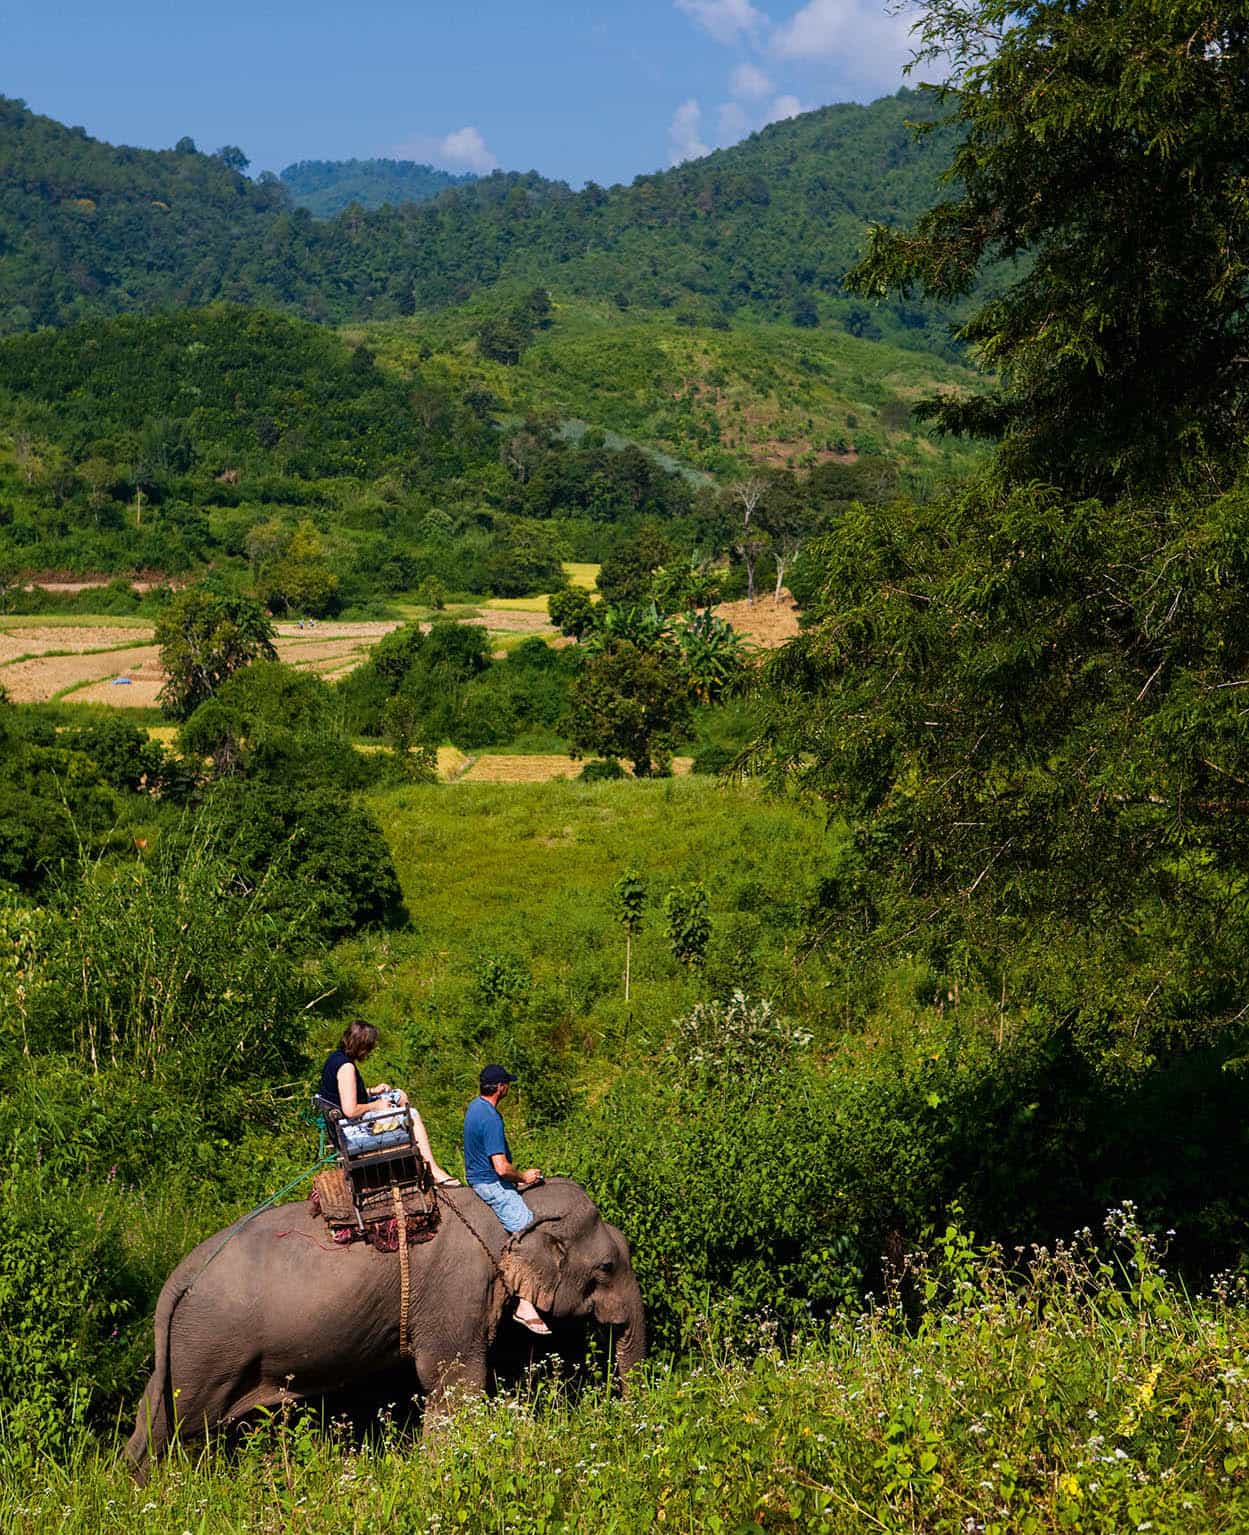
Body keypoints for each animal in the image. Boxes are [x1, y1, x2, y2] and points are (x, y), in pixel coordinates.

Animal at [125, 1172, 644, 1473]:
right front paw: (439, 1469)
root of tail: (178, 1277)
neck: (508, 1206)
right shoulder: (455, 1291)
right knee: (185, 1426)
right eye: (606, 1268)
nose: (620, 1413)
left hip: (184, 1348)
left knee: (151, 1415)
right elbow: (455, 1381)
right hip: (209, 1348)